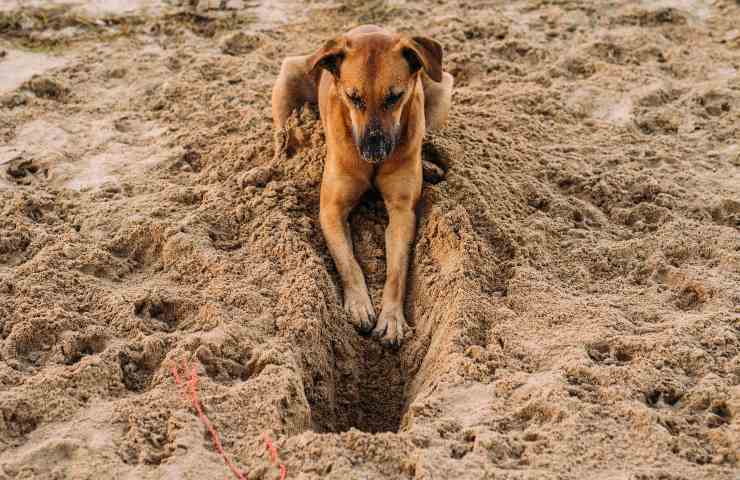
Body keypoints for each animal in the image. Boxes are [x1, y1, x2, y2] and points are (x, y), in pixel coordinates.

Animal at [274, 25, 450, 344]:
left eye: (394, 97)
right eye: (353, 97)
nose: (373, 151)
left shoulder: (402, 213)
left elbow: (397, 271)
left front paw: (391, 317)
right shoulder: (331, 210)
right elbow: (348, 262)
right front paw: (358, 304)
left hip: (442, 87)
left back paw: (428, 165)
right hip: (288, 77)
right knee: (281, 137)